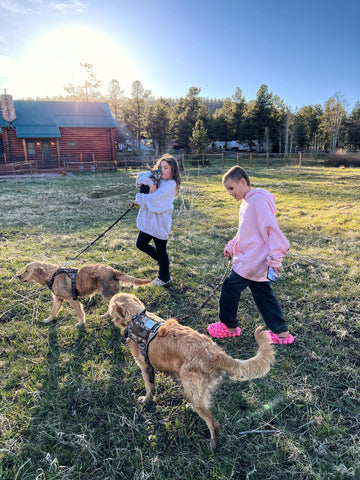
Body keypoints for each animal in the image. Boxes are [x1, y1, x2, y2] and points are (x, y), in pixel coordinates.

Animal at [17, 262, 150, 326]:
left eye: (26, 271)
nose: (18, 276)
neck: (53, 275)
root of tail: (113, 270)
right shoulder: (58, 299)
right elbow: (53, 312)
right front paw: (48, 320)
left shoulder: (72, 299)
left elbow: (80, 313)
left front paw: (81, 323)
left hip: (107, 294)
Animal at [105, 292, 274, 450]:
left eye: (110, 307)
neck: (137, 317)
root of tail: (215, 354)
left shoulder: (145, 366)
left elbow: (149, 387)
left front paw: (146, 400)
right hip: (197, 393)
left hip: (192, 389)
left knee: (214, 424)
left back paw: (212, 446)